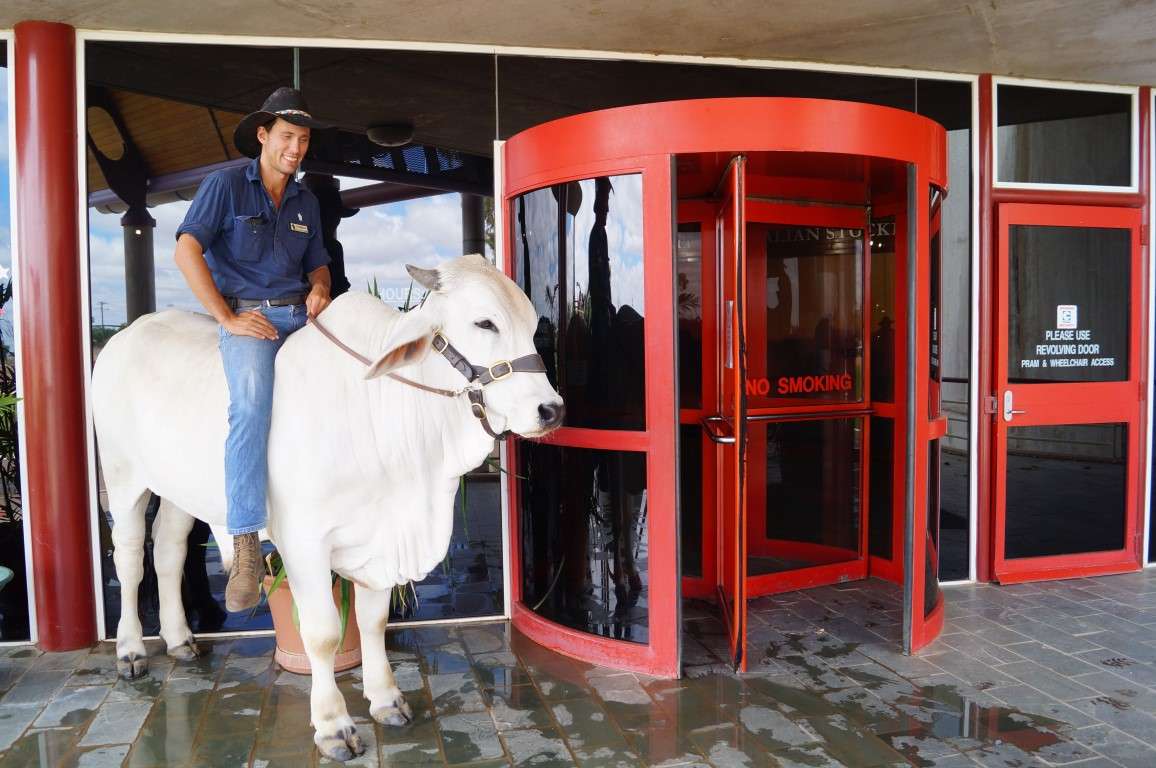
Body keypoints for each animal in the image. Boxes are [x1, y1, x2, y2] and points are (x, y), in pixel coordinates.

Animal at [91, 254, 564, 758]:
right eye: (484, 322)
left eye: (531, 323)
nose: (551, 410)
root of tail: (128, 333)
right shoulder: (303, 543)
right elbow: (321, 635)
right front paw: (334, 725)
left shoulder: (381, 536)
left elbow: (374, 621)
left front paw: (386, 700)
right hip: (123, 477)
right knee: (130, 559)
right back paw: (130, 650)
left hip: (180, 489)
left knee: (169, 550)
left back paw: (180, 639)